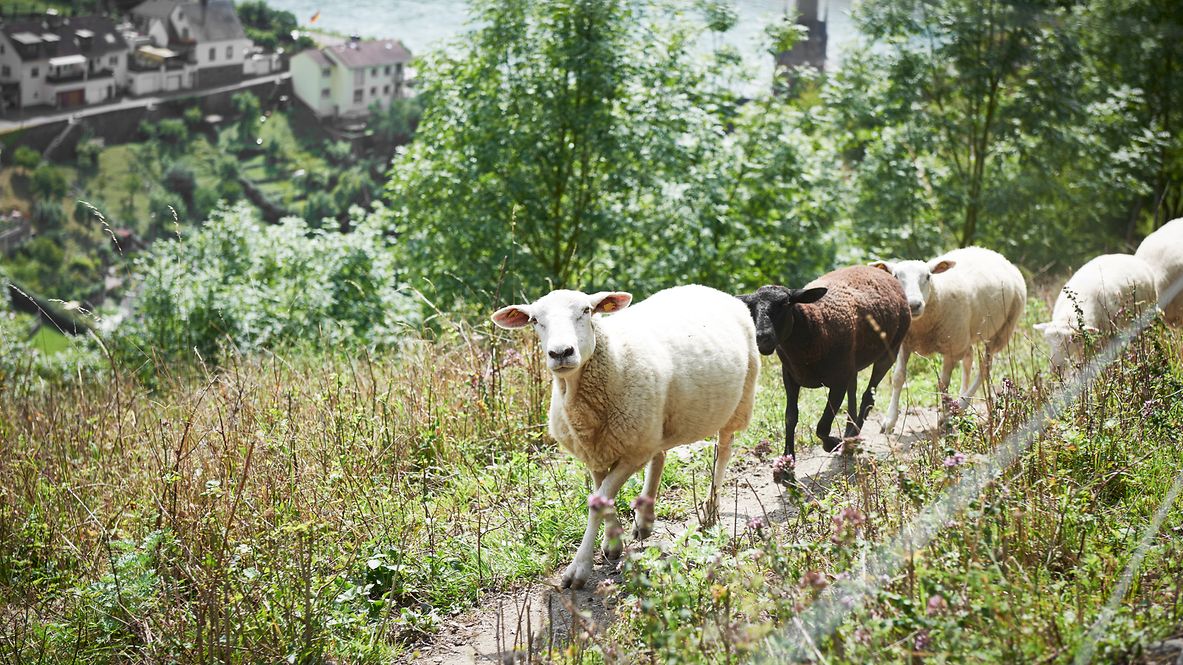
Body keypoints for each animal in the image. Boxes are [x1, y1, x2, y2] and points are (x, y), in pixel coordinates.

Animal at [491, 285, 759, 589]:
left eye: (586, 311)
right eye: (535, 320)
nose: (561, 352)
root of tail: (709, 289)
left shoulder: (632, 454)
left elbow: (598, 501)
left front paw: (579, 568)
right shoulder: (596, 453)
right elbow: (602, 498)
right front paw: (612, 543)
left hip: (738, 402)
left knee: (722, 450)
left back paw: (711, 509)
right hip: (654, 423)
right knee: (660, 455)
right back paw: (645, 520)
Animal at [738, 266, 910, 485]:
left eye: (785, 304)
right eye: (751, 307)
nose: (763, 338)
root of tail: (879, 269)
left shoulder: (837, 382)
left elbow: (822, 425)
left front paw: (833, 443)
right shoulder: (790, 376)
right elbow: (790, 417)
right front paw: (786, 467)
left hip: (889, 351)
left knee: (867, 397)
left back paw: (849, 441)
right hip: (851, 365)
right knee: (854, 396)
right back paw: (850, 438)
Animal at [872, 246, 1026, 433]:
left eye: (928, 276)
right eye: (895, 276)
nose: (913, 305)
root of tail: (995, 254)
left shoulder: (951, 351)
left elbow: (943, 384)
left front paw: (946, 419)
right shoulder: (904, 344)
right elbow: (898, 378)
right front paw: (889, 421)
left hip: (1001, 331)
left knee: (984, 368)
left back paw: (961, 405)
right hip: (966, 335)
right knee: (969, 360)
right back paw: (960, 402)